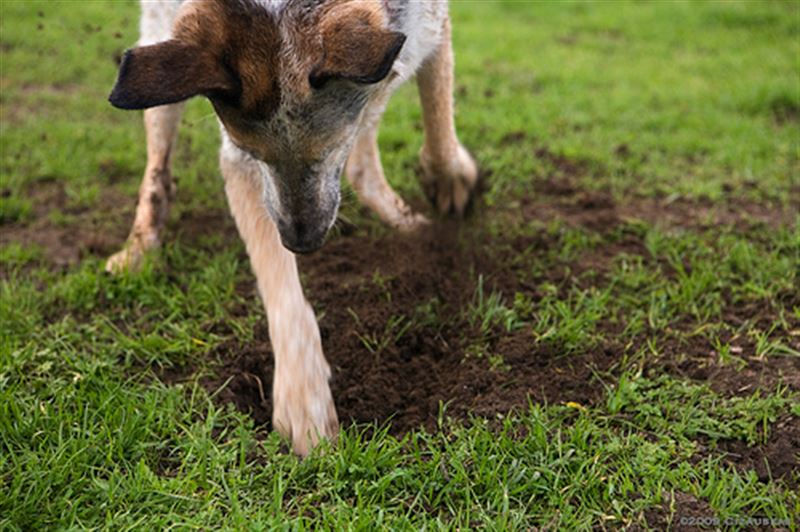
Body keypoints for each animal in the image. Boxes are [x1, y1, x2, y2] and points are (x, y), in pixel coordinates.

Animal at [107, 1, 478, 458]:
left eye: (326, 149)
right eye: (254, 153)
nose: (301, 242)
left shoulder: (428, 27)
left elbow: (438, 117)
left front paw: (449, 178)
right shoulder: (242, 165)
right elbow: (280, 288)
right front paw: (303, 398)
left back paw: (407, 222)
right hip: (160, 53)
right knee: (158, 166)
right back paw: (139, 248)